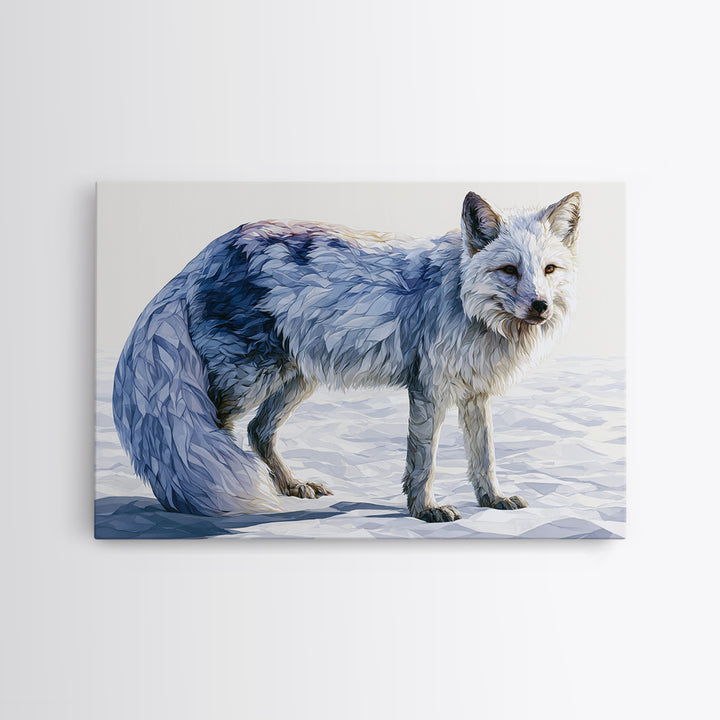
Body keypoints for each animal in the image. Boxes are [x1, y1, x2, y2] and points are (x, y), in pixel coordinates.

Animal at [112, 191, 581, 523]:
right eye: (509, 270)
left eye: (549, 270)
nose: (540, 306)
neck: (464, 301)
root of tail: (208, 252)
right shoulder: (427, 390)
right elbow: (424, 462)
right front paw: (424, 510)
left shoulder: (475, 394)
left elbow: (483, 457)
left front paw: (491, 499)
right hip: (246, 378)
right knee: (213, 431)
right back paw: (208, 495)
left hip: (296, 379)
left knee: (258, 432)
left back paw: (288, 486)